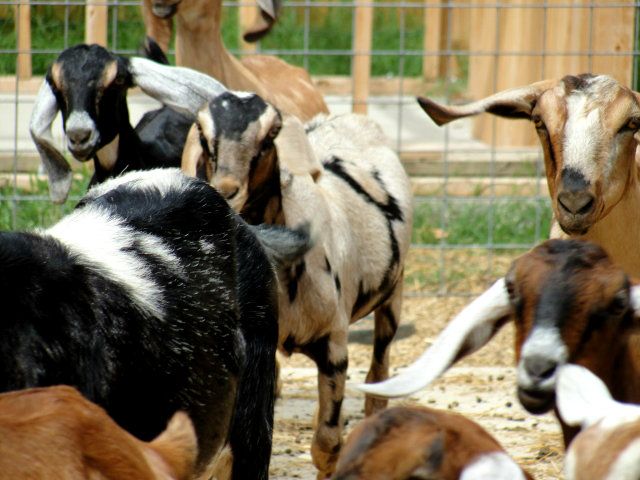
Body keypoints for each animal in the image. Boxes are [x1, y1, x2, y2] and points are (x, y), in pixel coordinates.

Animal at [180, 89, 414, 478]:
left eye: (270, 135)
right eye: (201, 129)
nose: (227, 191)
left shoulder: (334, 344)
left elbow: (327, 446)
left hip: (393, 293)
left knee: (379, 373)